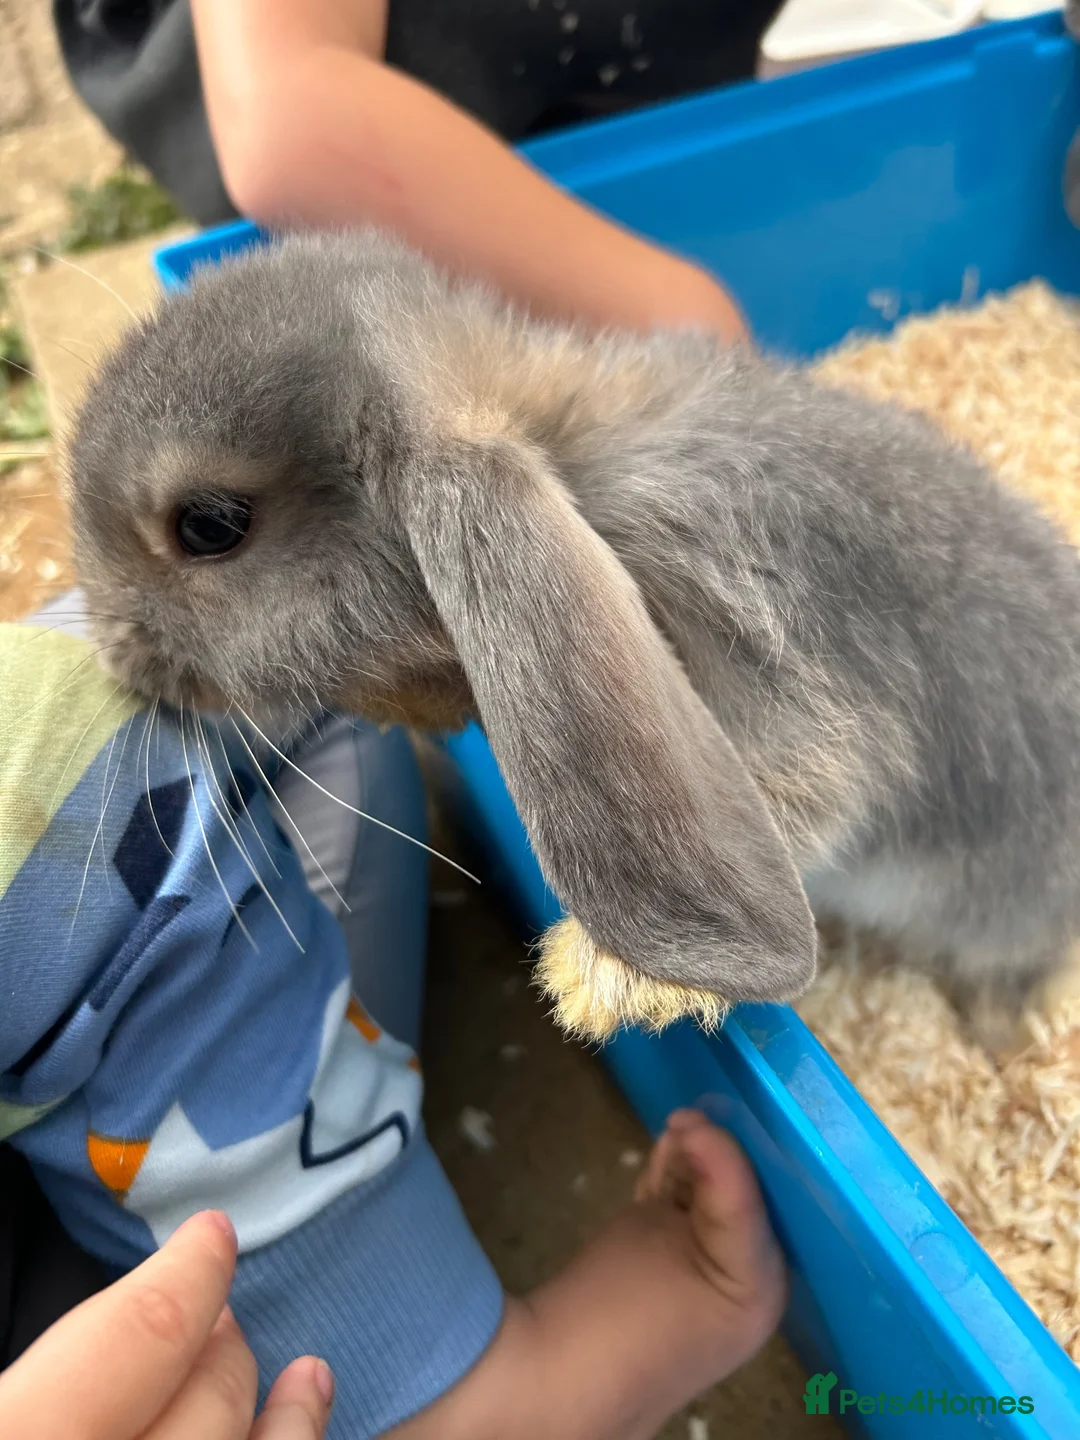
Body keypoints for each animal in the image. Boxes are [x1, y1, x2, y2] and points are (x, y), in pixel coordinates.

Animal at [66, 229, 1080, 1050]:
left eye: (210, 526)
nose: (108, 646)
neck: (568, 461)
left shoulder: (757, 628)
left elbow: (817, 783)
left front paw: (602, 979)